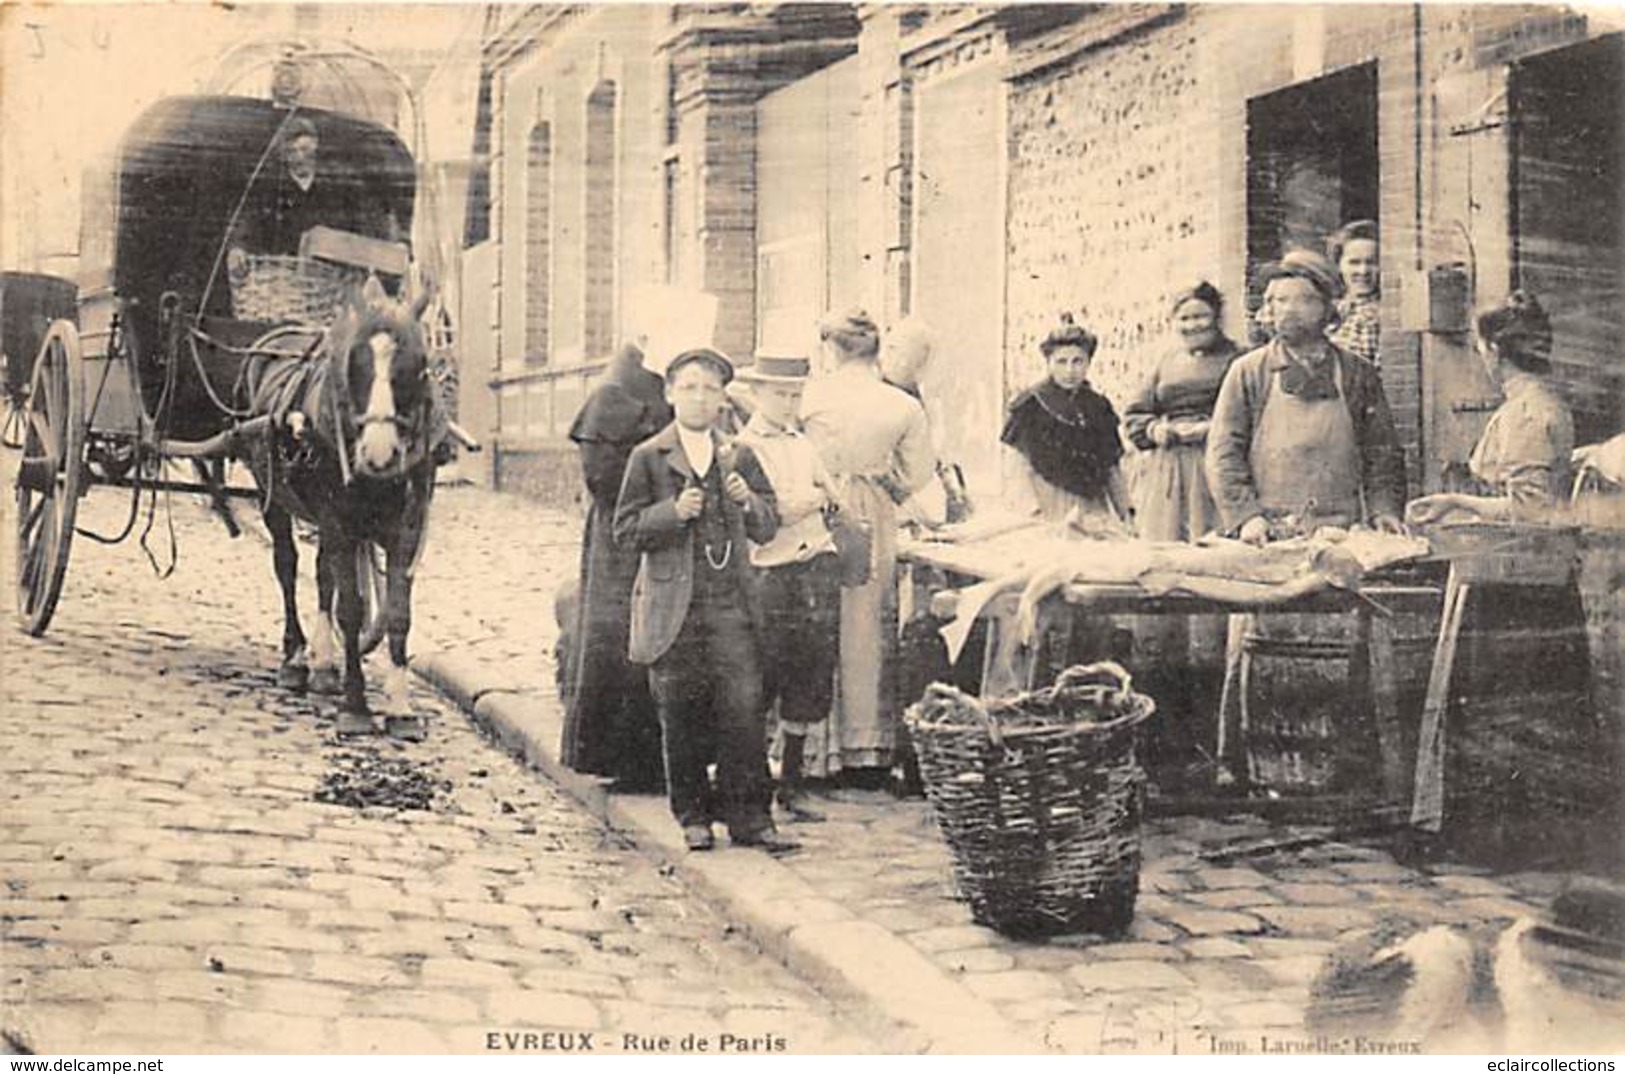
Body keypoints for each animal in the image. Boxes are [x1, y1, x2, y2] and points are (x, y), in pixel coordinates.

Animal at [240, 276, 438, 737]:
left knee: (321, 575)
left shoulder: (407, 527)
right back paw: (296, 658)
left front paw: (401, 708)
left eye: (419, 366)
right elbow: (351, 608)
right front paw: (356, 706)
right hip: (273, 498)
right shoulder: (339, 523)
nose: (379, 454)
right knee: (288, 567)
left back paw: (324, 666)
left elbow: (397, 613)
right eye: (353, 365)